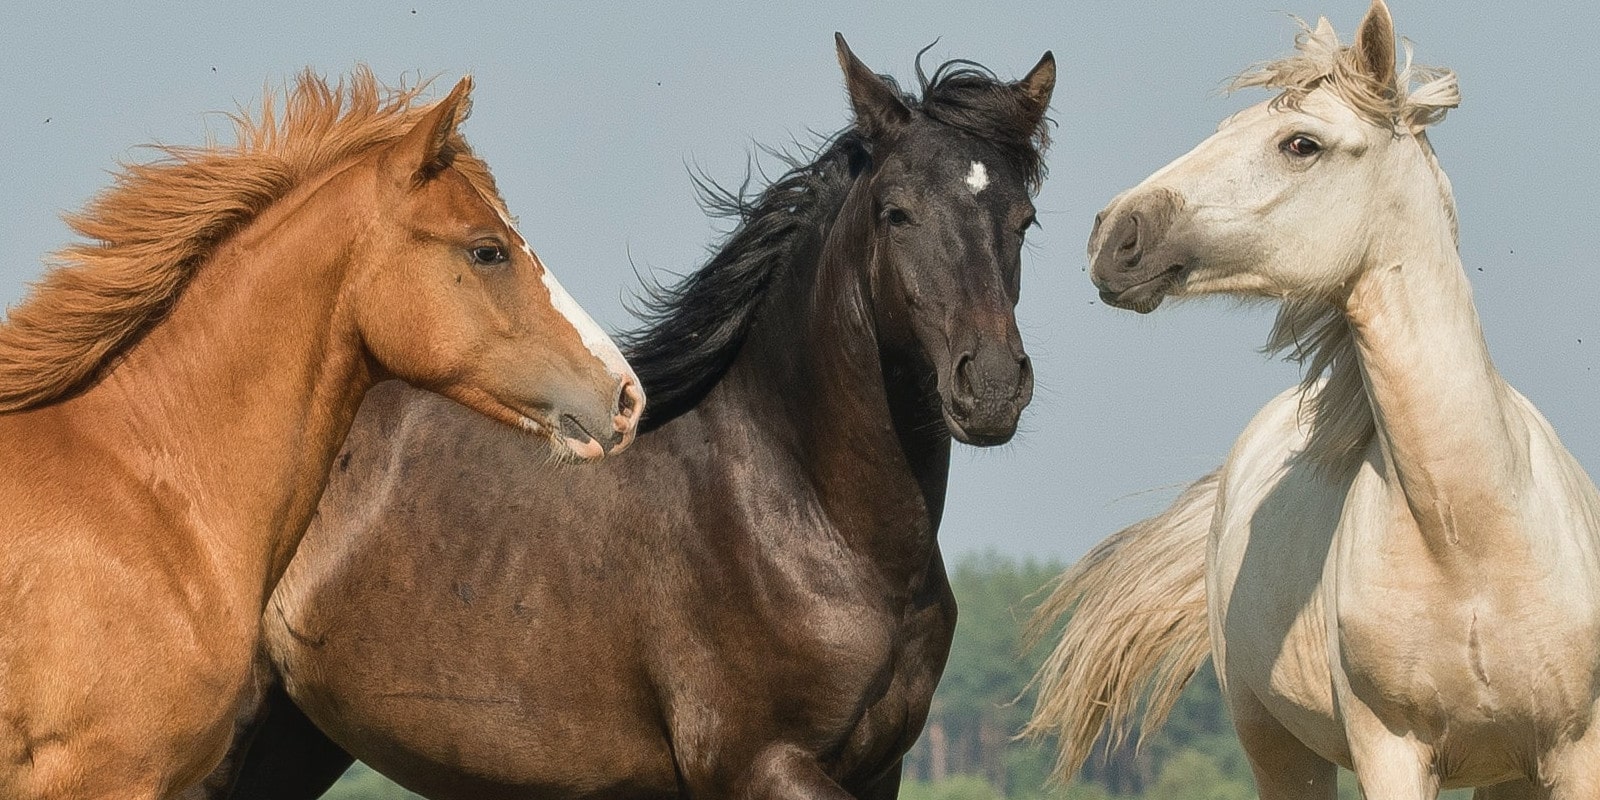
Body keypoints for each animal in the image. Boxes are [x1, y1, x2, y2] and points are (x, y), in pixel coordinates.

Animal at [212, 36, 1056, 800]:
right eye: (895, 214)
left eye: (1023, 220)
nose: (990, 386)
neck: (805, 512)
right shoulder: (760, 764)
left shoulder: (879, 770)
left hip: (294, 740)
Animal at [1024, 3, 1600, 796]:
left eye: (1301, 143)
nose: (1114, 236)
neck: (1472, 541)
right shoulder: (1390, 749)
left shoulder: (1575, 750)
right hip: (1275, 745)